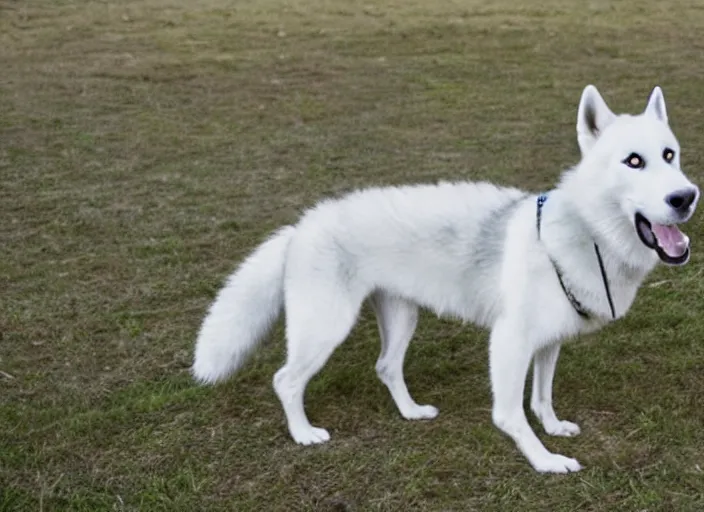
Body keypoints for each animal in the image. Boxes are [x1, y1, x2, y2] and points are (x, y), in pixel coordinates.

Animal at [191, 86, 700, 474]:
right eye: (633, 162)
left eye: (669, 155)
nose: (686, 197)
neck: (581, 229)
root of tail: (301, 226)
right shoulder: (509, 343)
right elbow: (511, 415)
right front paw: (545, 460)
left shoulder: (547, 342)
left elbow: (542, 397)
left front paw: (554, 427)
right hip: (325, 328)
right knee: (286, 380)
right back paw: (303, 433)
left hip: (401, 317)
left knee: (385, 367)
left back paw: (411, 413)